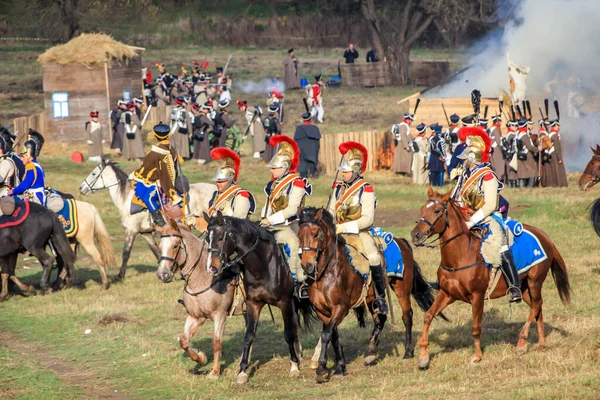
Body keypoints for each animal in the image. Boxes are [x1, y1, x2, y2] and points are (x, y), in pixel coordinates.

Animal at [79, 161, 216, 280]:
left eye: (93, 174)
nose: (81, 188)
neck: (126, 198)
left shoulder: (131, 230)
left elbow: (126, 253)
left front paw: (120, 275)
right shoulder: (145, 233)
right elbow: (156, 250)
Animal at [155, 219, 239, 378]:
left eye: (175, 246)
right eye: (159, 247)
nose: (163, 274)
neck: (203, 278)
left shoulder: (220, 316)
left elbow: (216, 343)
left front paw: (215, 372)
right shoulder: (196, 316)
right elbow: (183, 341)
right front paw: (201, 358)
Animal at [204, 212, 314, 384]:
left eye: (221, 237)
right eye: (207, 239)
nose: (212, 267)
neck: (264, 265)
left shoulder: (285, 302)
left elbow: (287, 334)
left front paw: (294, 367)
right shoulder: (253, 304)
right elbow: (249, 336)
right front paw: (242, 372)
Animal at [300, 208, 446, 382]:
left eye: (316, 234)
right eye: (299, 234)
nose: (307, 266)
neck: (327, 273)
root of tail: (402, 242)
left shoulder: (340, 308)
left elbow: (326, 334)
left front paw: (322, 369)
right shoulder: (323, 311)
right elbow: (332, 335)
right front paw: (340, 366)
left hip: (401, 290)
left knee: (407, 316)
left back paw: (407, 352)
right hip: (372, 298)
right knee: (380, 319)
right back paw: (370, 352)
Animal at [410, 189, 568, 370]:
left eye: (436, 211)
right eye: (422, 209)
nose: (415, 235)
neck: (461, 256)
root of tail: (544, 236)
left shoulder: (477, 297)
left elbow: (476, 327)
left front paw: (477, 356)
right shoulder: (447, 293)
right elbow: (429, 315)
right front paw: (423, 356)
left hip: (535, 281)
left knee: (536, 305)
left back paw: (522, 343)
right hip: (525, 288)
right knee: (537, 308)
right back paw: (541, 343)